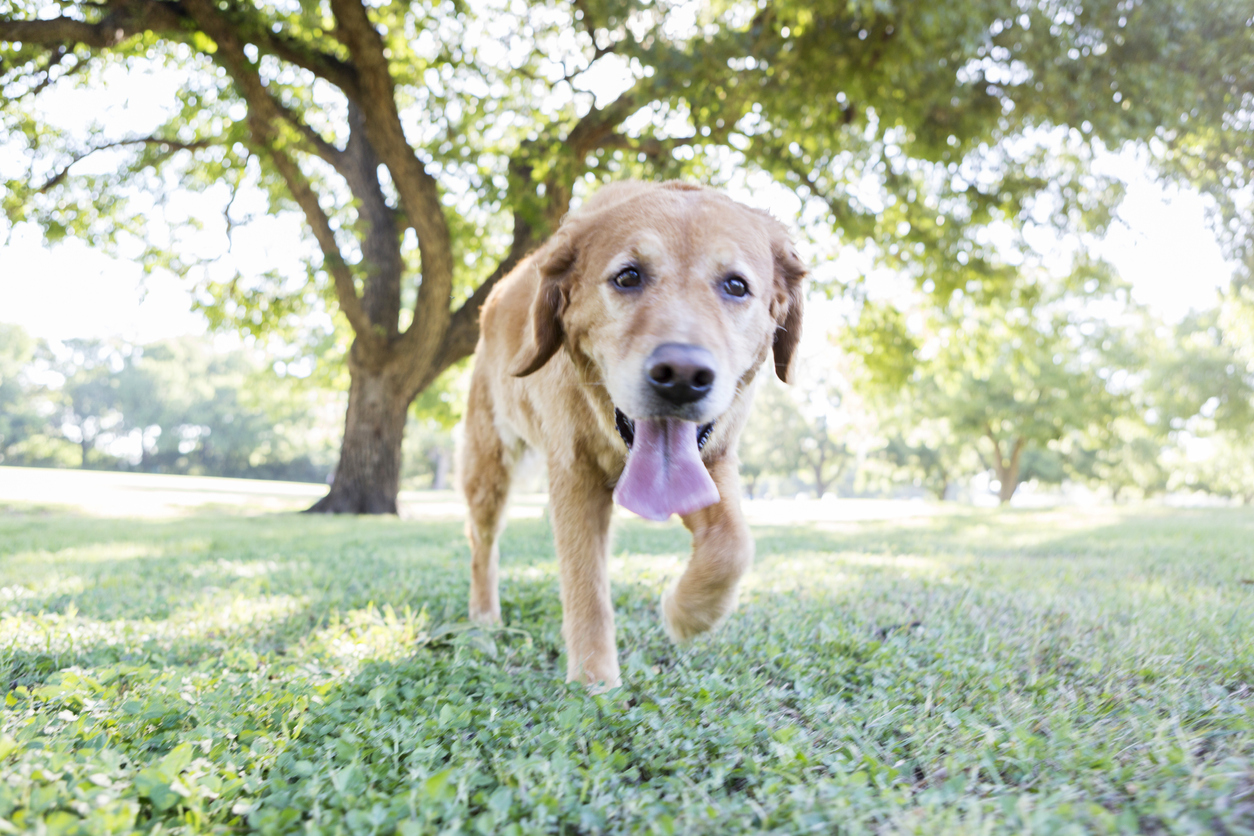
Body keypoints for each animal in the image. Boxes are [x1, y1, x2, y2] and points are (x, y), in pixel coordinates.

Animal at [461, 181, 802, 686]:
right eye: (628, 277)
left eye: (736, 285)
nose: (681, 376)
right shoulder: (574, 476)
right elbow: (586, 584)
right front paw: (594, 680)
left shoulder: (714, 463)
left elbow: (733, 546)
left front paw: (688, 612)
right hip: (487, 469)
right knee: (482, 544)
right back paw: (484, 616)